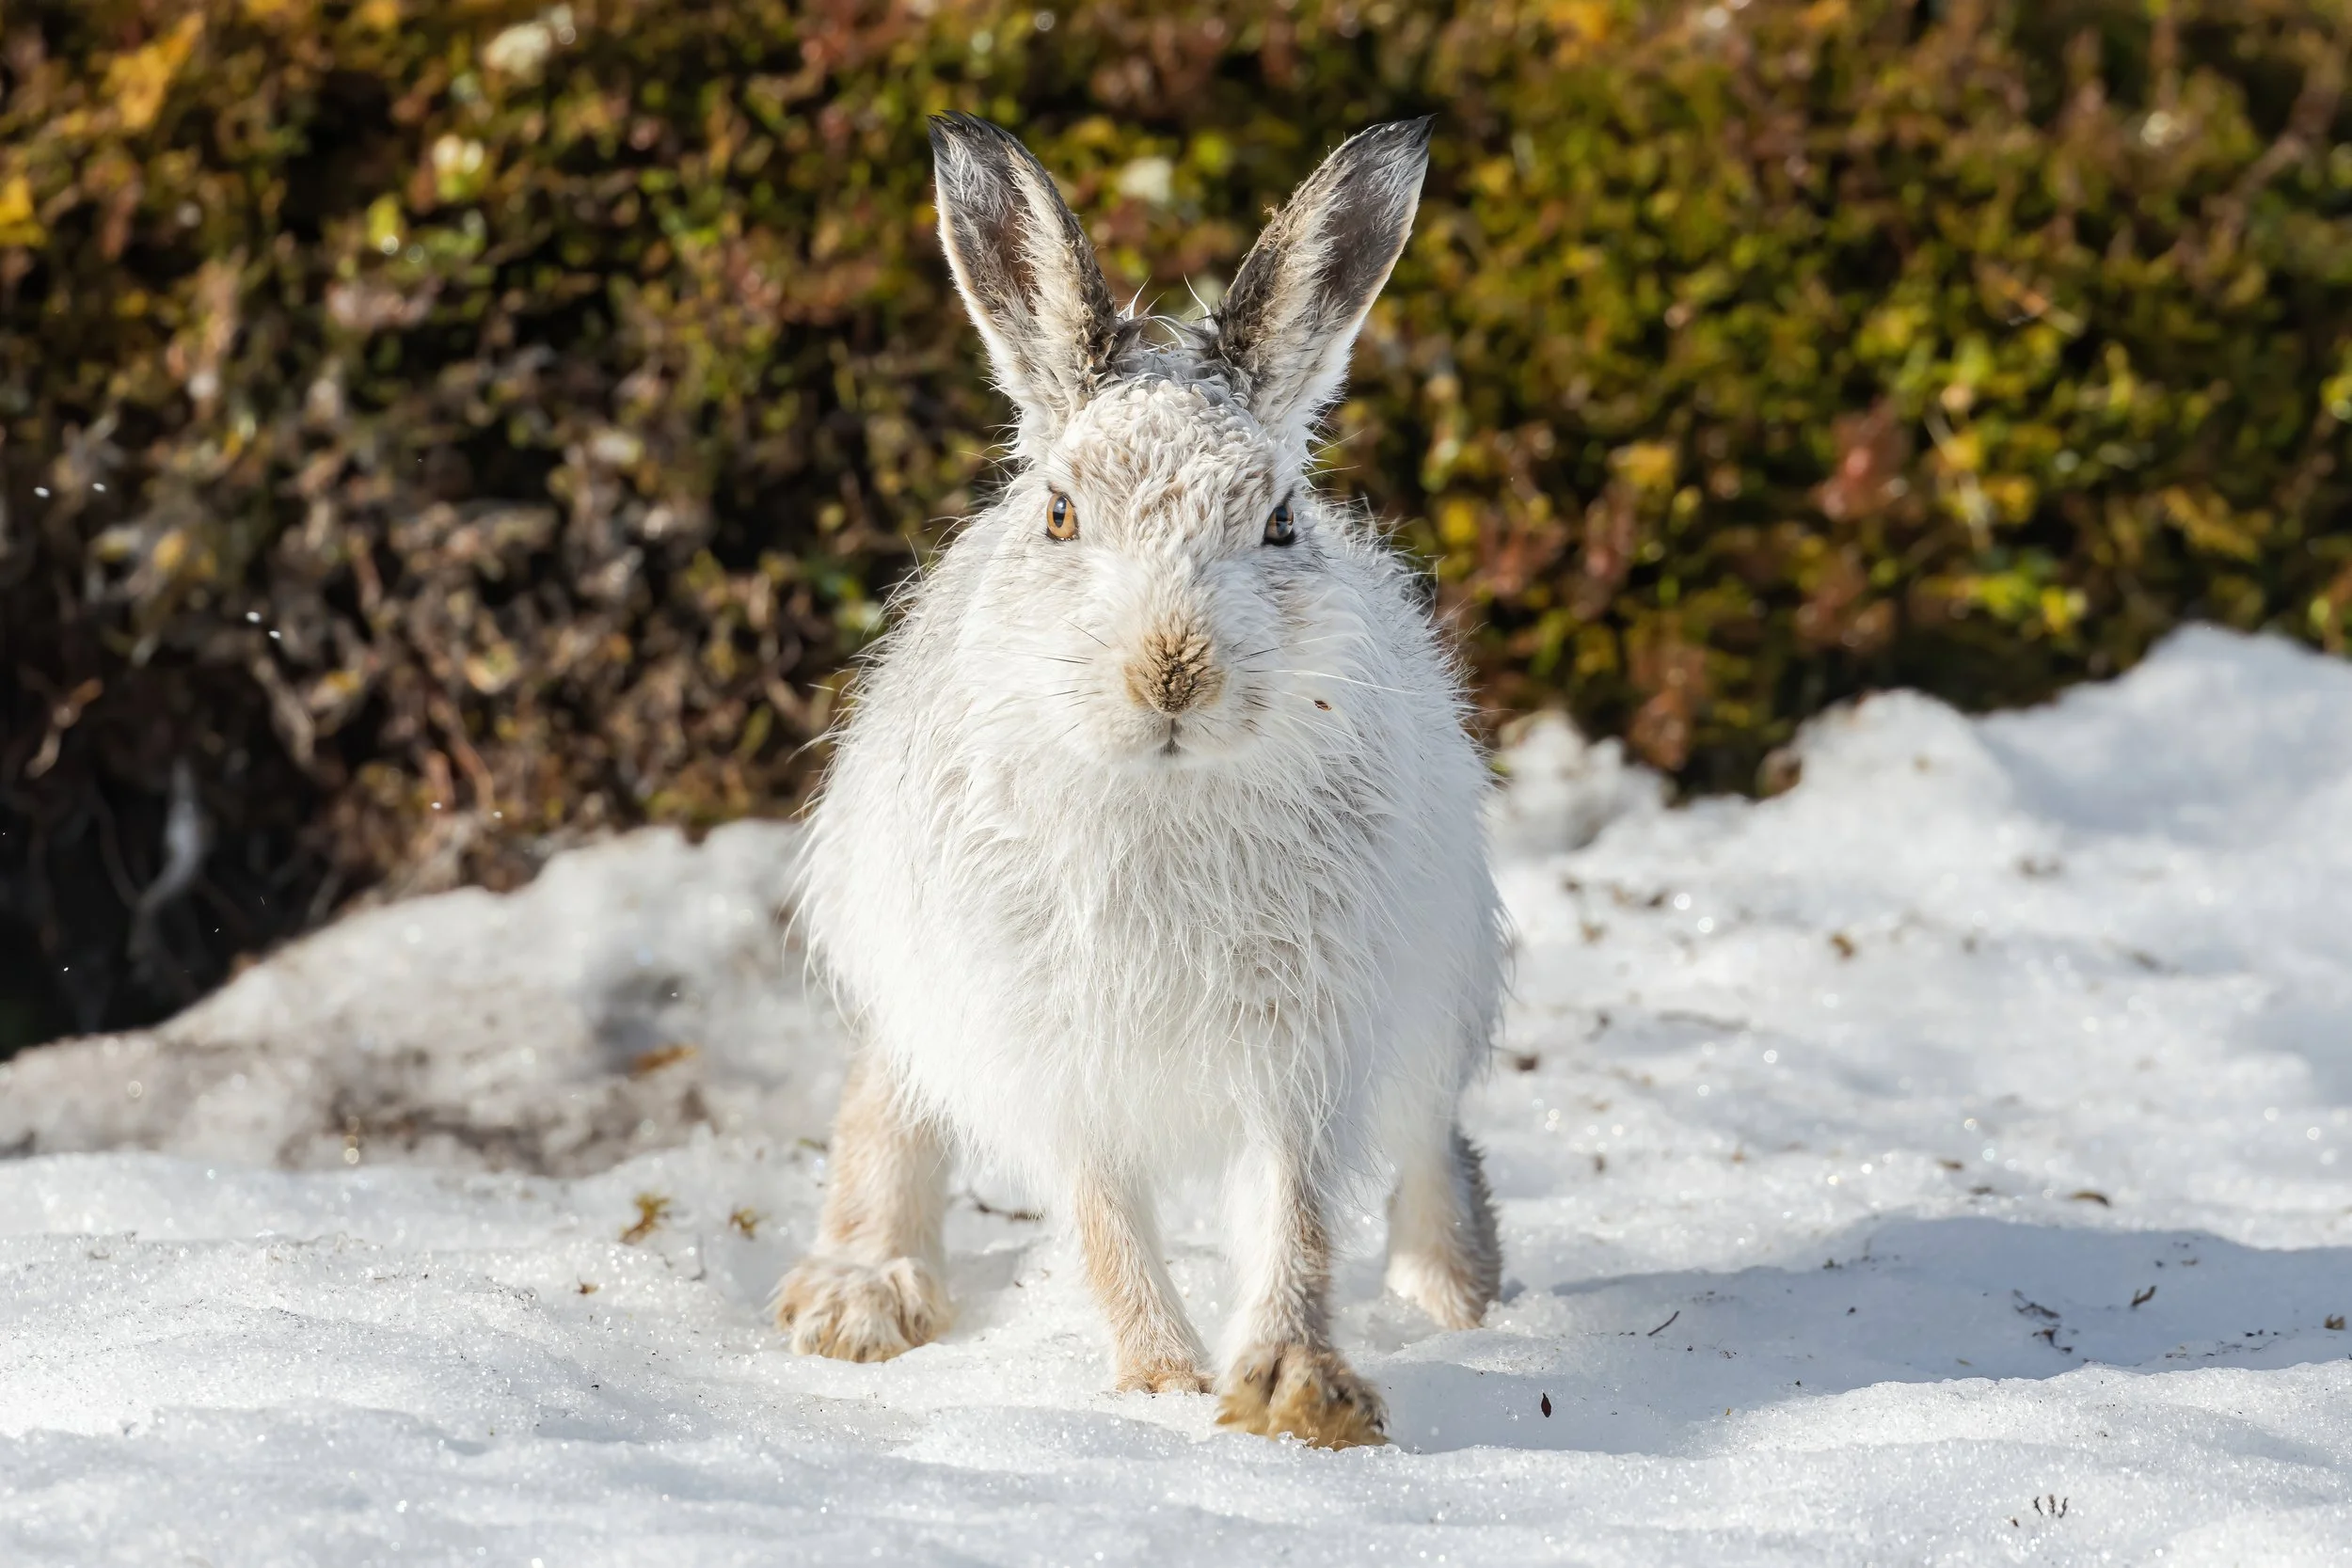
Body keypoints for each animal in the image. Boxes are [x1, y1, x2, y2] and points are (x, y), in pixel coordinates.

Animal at [773, 113, 1504, 1450]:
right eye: (1061, 514)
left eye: (1279, 522)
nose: (1173, 669)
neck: (1163, 793)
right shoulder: (1055, 1049)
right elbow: (1107, 1219)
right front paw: (1162, 1385)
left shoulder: (1306, 1042)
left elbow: (1296, 1213)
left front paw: (1297, 1386)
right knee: (889, 1084)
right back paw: (858, 1294)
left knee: (1430, 1132)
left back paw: (1455, 1290)